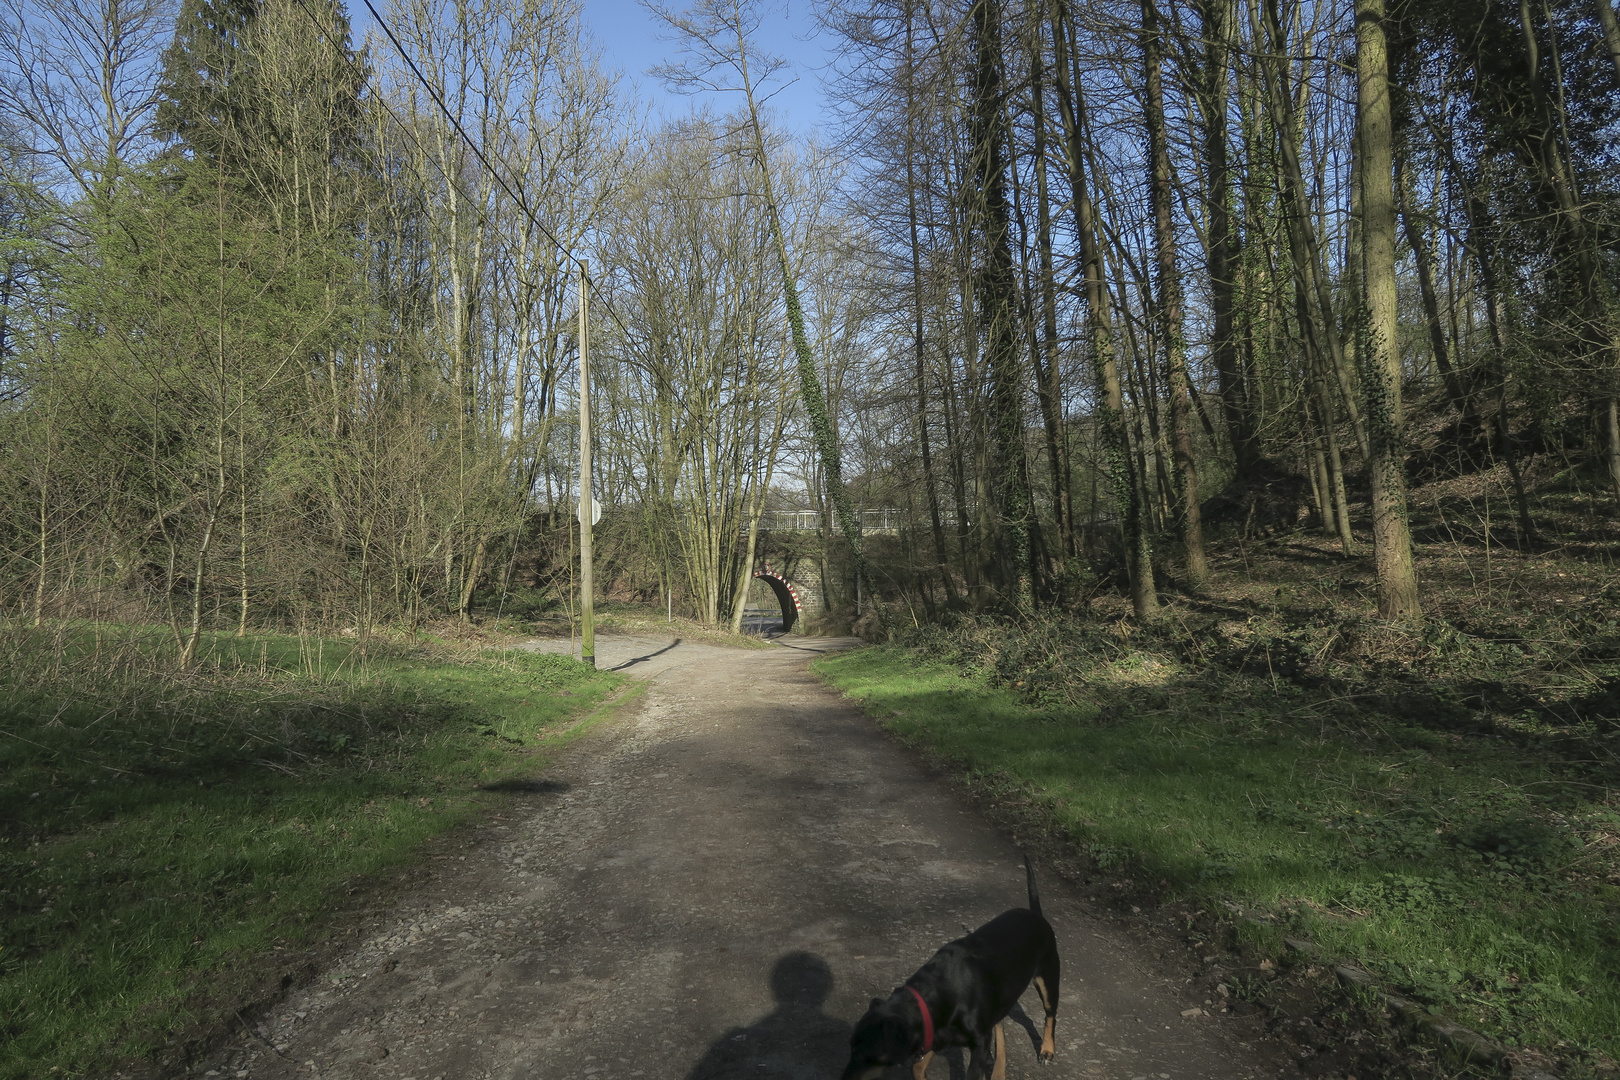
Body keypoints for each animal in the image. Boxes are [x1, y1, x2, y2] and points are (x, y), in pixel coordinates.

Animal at [842, 854, 1056, 1075]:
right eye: (851, 1047)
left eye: (864, 1056)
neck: (941, 992)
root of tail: (1036, 915)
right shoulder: (935, 1037)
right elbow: (918, 1066)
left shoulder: (978, 1044)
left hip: (1048, 978)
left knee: (1050, 1015)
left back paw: (1047, 1049)